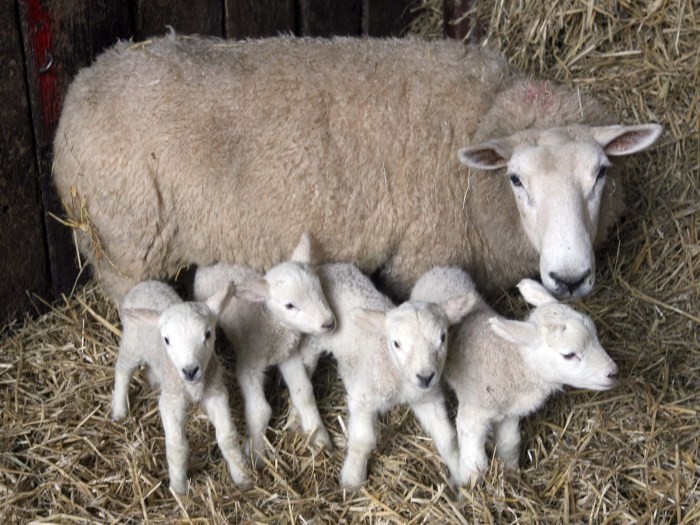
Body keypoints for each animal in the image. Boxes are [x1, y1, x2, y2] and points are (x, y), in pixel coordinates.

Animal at [53, 33, 660, 302]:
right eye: (516, 179)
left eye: (601, 174)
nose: (570, 278)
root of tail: (81, 85)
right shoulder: (421, 260)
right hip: (125, 249)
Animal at [110, 280, 250, 494]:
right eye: (167, 340)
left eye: (208, 334)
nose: (190, 370)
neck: (192, 387)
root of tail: (144, 284)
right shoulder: (171, 402)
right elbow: (177, 447)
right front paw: (179, 489)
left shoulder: (216, 393)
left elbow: (227, 437)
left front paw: (242, 476)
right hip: (132, 344)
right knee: (122, 371)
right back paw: (119, 410)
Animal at [190, 233, 334, 466]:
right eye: (289, 305)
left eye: (320, 289)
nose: (328, 324)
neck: (272, 326)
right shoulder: (249, 363)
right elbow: (260, 410)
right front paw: (257, 454)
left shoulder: (287, 354)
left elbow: (304, 392)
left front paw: (319, 438)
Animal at [298, 264, 478, 490]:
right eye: (396, 344)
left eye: (443, 338)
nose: (425, 377)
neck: (399, 377)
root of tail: (327, 267)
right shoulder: (364, 398)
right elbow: (363, 440)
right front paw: (352, 479)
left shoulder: (427, 398)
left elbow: (447, 438)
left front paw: (459, 477)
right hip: (314, 338)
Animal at [410, 268, 616, 486]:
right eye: (568, 355)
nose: (613, 373)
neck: (513, 363)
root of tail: (437, 270)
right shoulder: (473, 415)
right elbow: (476, 463)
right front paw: (469, 485)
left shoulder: (509, 414)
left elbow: (510, 444)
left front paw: (510, 473)